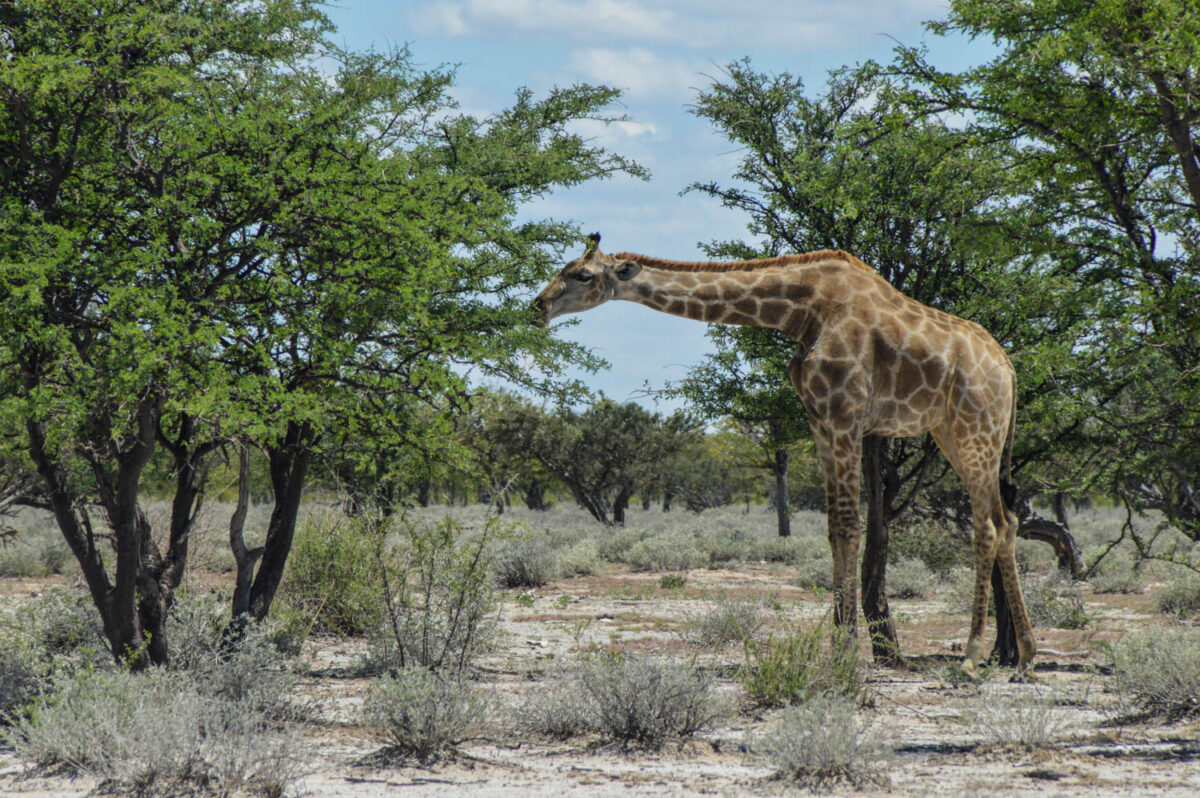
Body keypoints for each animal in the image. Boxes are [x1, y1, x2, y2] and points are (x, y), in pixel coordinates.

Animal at [534, 233, 1036, 673]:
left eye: (581, 274)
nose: (538, 306)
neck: (801, 310)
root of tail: (1009, 368)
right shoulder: (820, 420)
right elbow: (833, 529)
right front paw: (836, 648)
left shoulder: (845, 414)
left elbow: (849, 526)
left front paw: (845, 655)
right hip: (953, 432)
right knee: (1007, 520)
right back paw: (1025, 656)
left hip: (976, 428)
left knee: (988, 526)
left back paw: (972, 657)